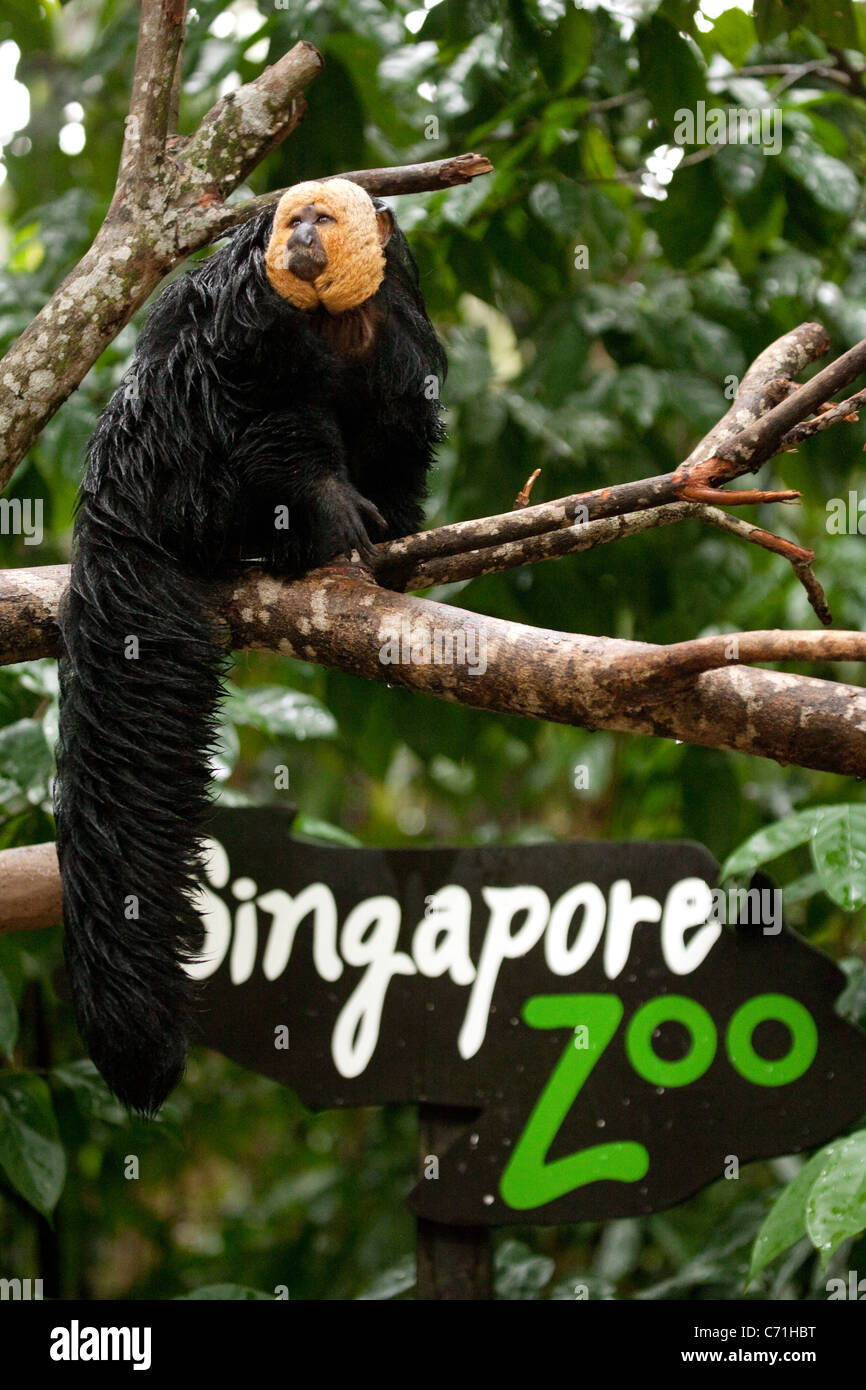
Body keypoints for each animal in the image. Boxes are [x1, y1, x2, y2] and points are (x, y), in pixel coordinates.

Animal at [54, 178, 446, 1115]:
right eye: (292, 219)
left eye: (322, 219)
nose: (300, 233)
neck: (335, 322)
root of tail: (112, 502)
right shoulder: (247, 309)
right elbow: (251, 410)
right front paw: (330, 513)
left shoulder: (401, 332)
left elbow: (397, 419)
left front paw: (395, 533)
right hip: (167, 477)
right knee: (193, 404)